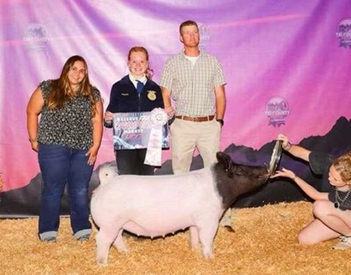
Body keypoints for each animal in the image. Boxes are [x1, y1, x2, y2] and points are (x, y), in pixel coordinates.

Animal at [91, 152, 270, 266]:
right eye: (240, 170)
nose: (265, 167)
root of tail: (104, 184)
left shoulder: (194, 221)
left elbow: (194, 235)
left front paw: (194, 249)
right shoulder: (209, 219)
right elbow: (207, 239)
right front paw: (210, 258)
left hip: (117, 223)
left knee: (116, 238)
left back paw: (125, 252)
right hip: (109, 223)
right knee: (102, 239)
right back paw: (103, 264)